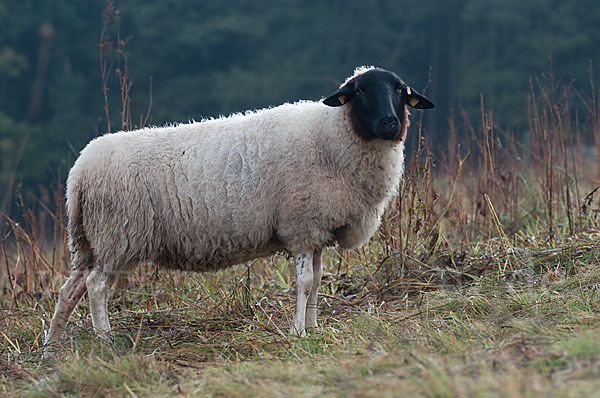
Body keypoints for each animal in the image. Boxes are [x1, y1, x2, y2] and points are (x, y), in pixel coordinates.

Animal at [44, 66, 434, 354]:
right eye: (361, 91)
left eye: (400, 92)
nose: (389, 123)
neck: (333, 136)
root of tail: (79, 174)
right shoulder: (300, 225)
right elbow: (306, 282)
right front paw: (297, 331)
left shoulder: (315, 229)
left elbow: (318, 280)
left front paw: (313, 326)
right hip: (119, 235)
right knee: (96, 287)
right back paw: (105, 340)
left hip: (91, 241)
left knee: (70, 289)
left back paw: (52, 348)